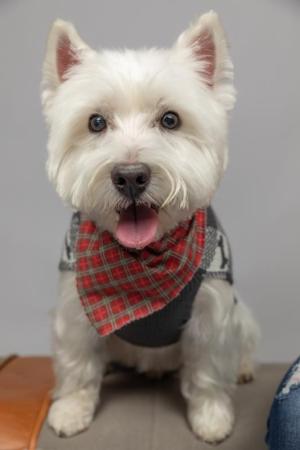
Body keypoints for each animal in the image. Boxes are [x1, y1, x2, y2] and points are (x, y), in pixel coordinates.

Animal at [42, 10, 260, 442]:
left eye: (170, 119)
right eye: (95, 122)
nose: (130, 176)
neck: (143, 259)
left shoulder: (211, 313)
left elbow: (208, 373)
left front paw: (212, 419)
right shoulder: (75, 307)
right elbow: (78, 364)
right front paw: (71, 409)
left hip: (240, 317)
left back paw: (243, 368)